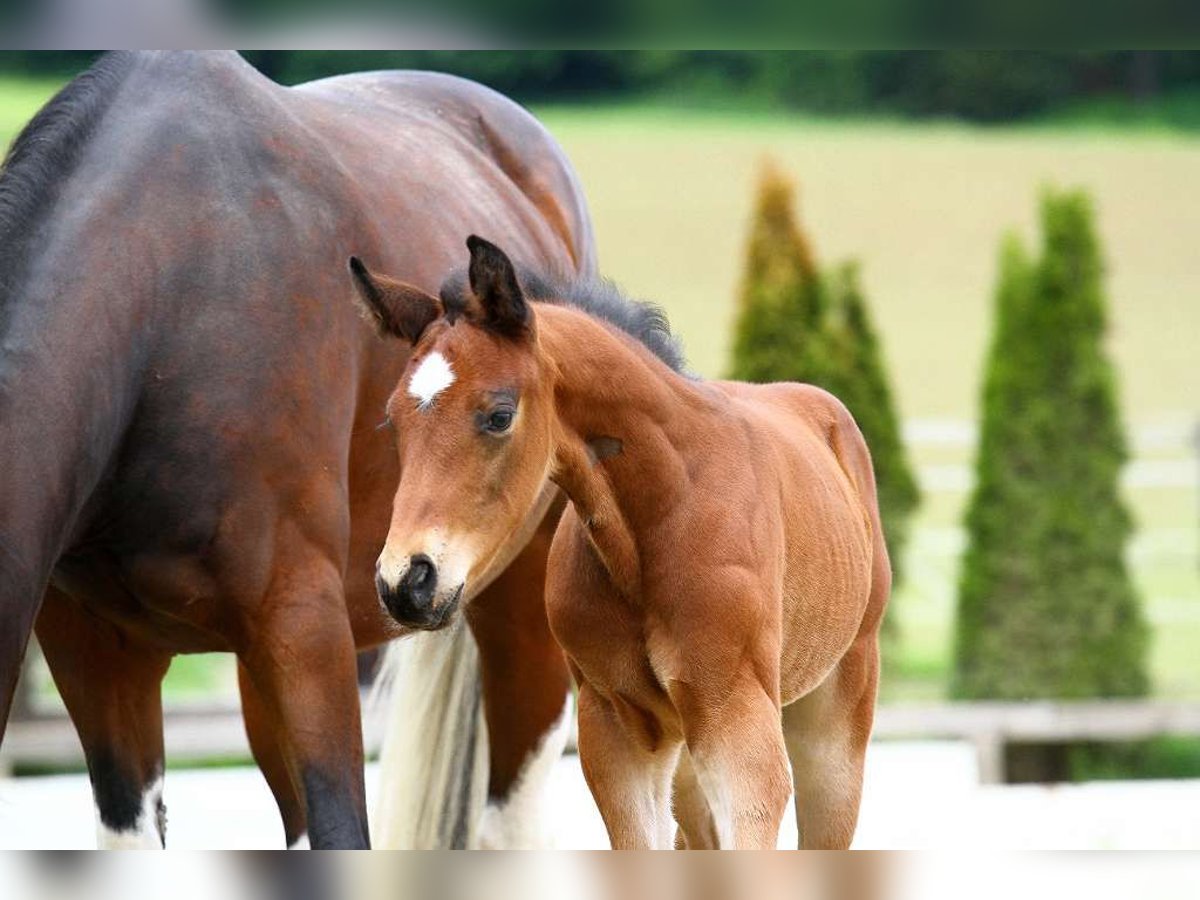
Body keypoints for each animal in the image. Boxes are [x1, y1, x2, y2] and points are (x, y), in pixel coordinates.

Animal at [348, 235, 890, 849]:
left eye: (499, 415)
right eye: (392, 422)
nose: (407, 581)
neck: (661, 516)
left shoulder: (738, 724)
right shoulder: (616, 731)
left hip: (836, 725)